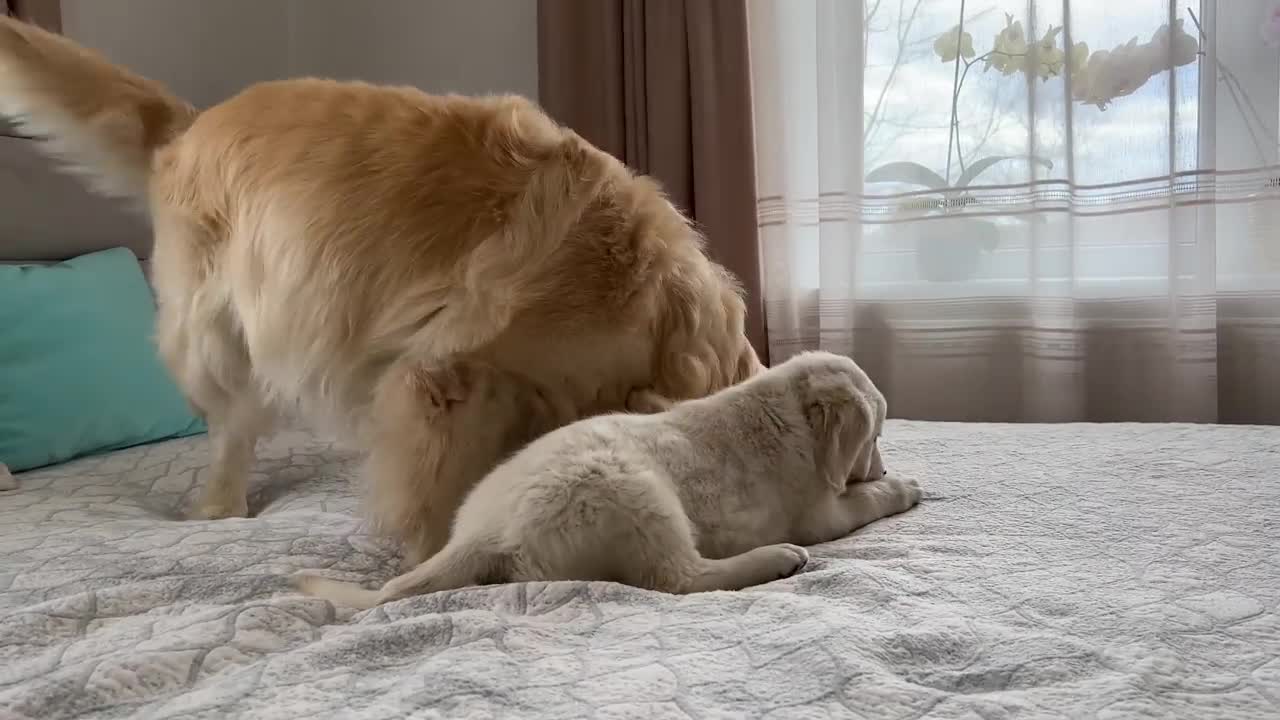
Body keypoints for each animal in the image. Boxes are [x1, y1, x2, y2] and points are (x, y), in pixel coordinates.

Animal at [296, 351, 921, 604]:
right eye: (874, 437)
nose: (886, 465)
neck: (786, 412)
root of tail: (484, 532)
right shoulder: (820, 511)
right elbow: (863, 502)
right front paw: (901, 487)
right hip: (634, 495)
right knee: (682, 579)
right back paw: (776, 558)